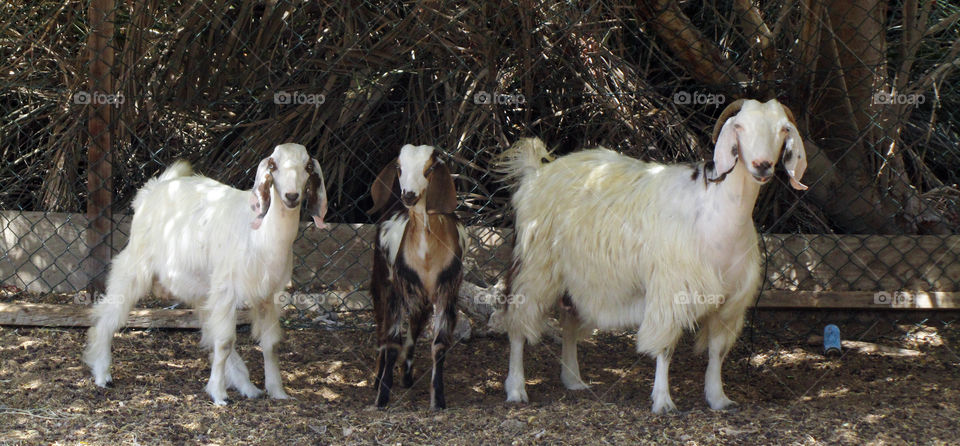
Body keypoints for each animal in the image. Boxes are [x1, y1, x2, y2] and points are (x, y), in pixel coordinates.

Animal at [83, 143, 328, 405]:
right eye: (273, 165)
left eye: (308, 166)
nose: (291, 196)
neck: (261, 236)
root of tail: (151, 190)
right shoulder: (227, 289)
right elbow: (225, 342)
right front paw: (218, 395)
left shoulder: (268, 295)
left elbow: (270, 343)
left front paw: (277, 391)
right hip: (136, 265)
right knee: (108, 315)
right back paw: (102, 374)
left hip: (201, 285)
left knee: (209, 327)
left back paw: (246, 385)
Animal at [368, 144, 467, 409]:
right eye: (399, 167)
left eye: (430, 169)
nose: (409, 195)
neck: (426, 256)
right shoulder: (397, 289)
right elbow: (392, 341)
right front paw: (382, 398)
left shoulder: (447, 291)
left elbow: (440, 344)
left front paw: (438, 400)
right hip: (380, 282)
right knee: (381, 329)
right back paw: (378, 378)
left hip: (421, 298)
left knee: (414, 327)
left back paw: (407, 375)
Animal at [496, 98, 807, 413]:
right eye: (740, 126)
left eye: (783, 129)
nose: (762, 165)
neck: (715, 209)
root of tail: (535, 174)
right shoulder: (670, 290)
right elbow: (666, 348)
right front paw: (663, 401)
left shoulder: (731, 301)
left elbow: (717, 351)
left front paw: (718, 398)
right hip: (534, 265)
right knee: (517, 324)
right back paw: (516, 389)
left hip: (580, 276)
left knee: (569, 321)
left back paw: (573, 379)